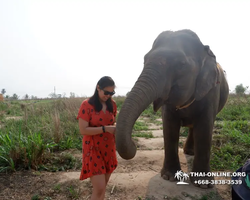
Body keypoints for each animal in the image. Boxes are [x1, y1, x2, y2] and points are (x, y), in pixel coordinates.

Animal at [115, 28, 229, 188]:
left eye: (181, 64)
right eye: (144, 59)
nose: (134, 145)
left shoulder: (212, 91)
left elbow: (205, 127)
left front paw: (203, 184)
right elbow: (169, 126)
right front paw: (169, 177)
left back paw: (190, 153)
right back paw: (189, 152)